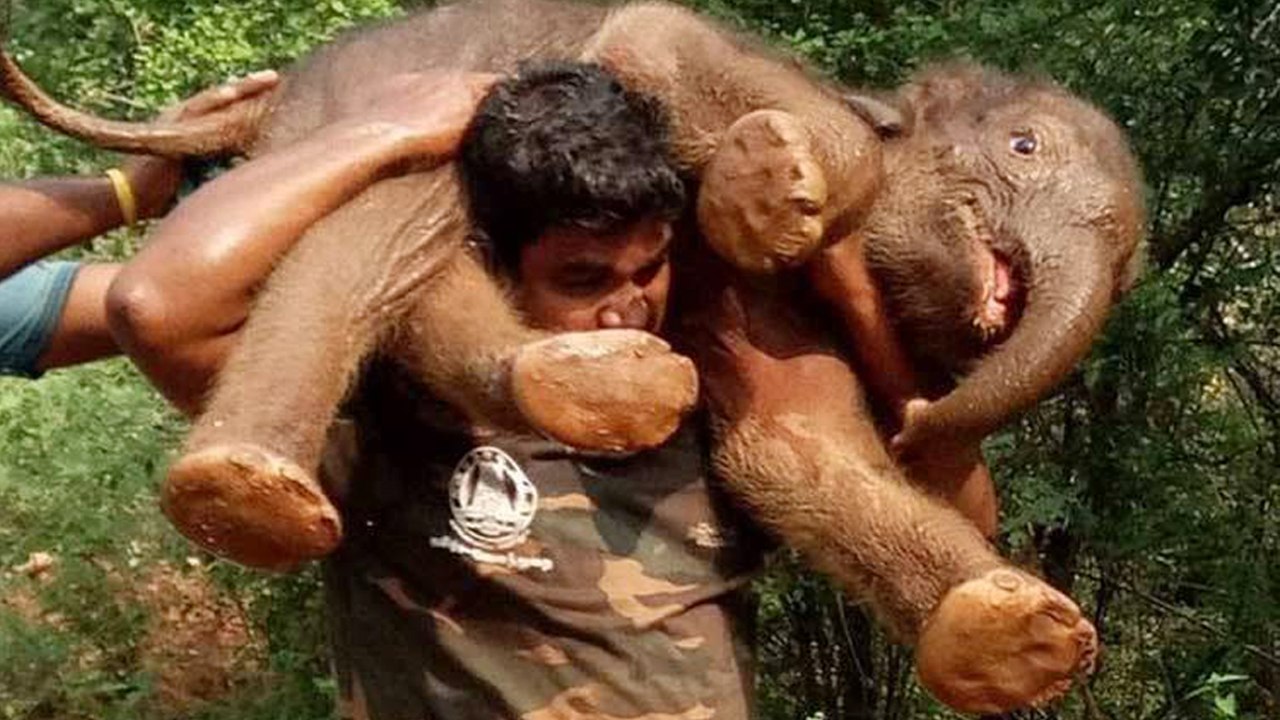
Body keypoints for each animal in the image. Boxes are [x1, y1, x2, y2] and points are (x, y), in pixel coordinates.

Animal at [0, 0, 1144, 713]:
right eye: (1024, 147)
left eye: (1131, 262)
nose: (916, 419)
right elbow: (654, 35)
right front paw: (775, 186)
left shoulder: (782, 312)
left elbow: (790, 444)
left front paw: (1016, 639)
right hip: (368, 115)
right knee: (404, 214)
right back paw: (255, 489)